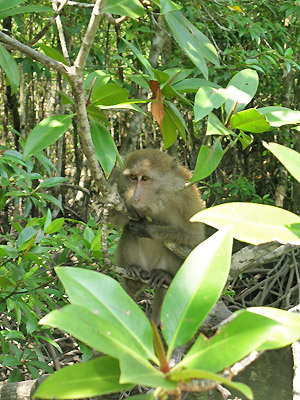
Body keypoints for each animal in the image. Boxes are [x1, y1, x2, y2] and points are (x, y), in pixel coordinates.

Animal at [111, 148, 205, 324]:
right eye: (133, 177)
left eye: (145, 178)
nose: (135, 197)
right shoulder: (122, 185)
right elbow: (114, 219)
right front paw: (128, 205)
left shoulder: (186, 196)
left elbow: (195, 237)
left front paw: (147, 229)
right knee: (128, 230)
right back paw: (133, 278)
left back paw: (166, 277)